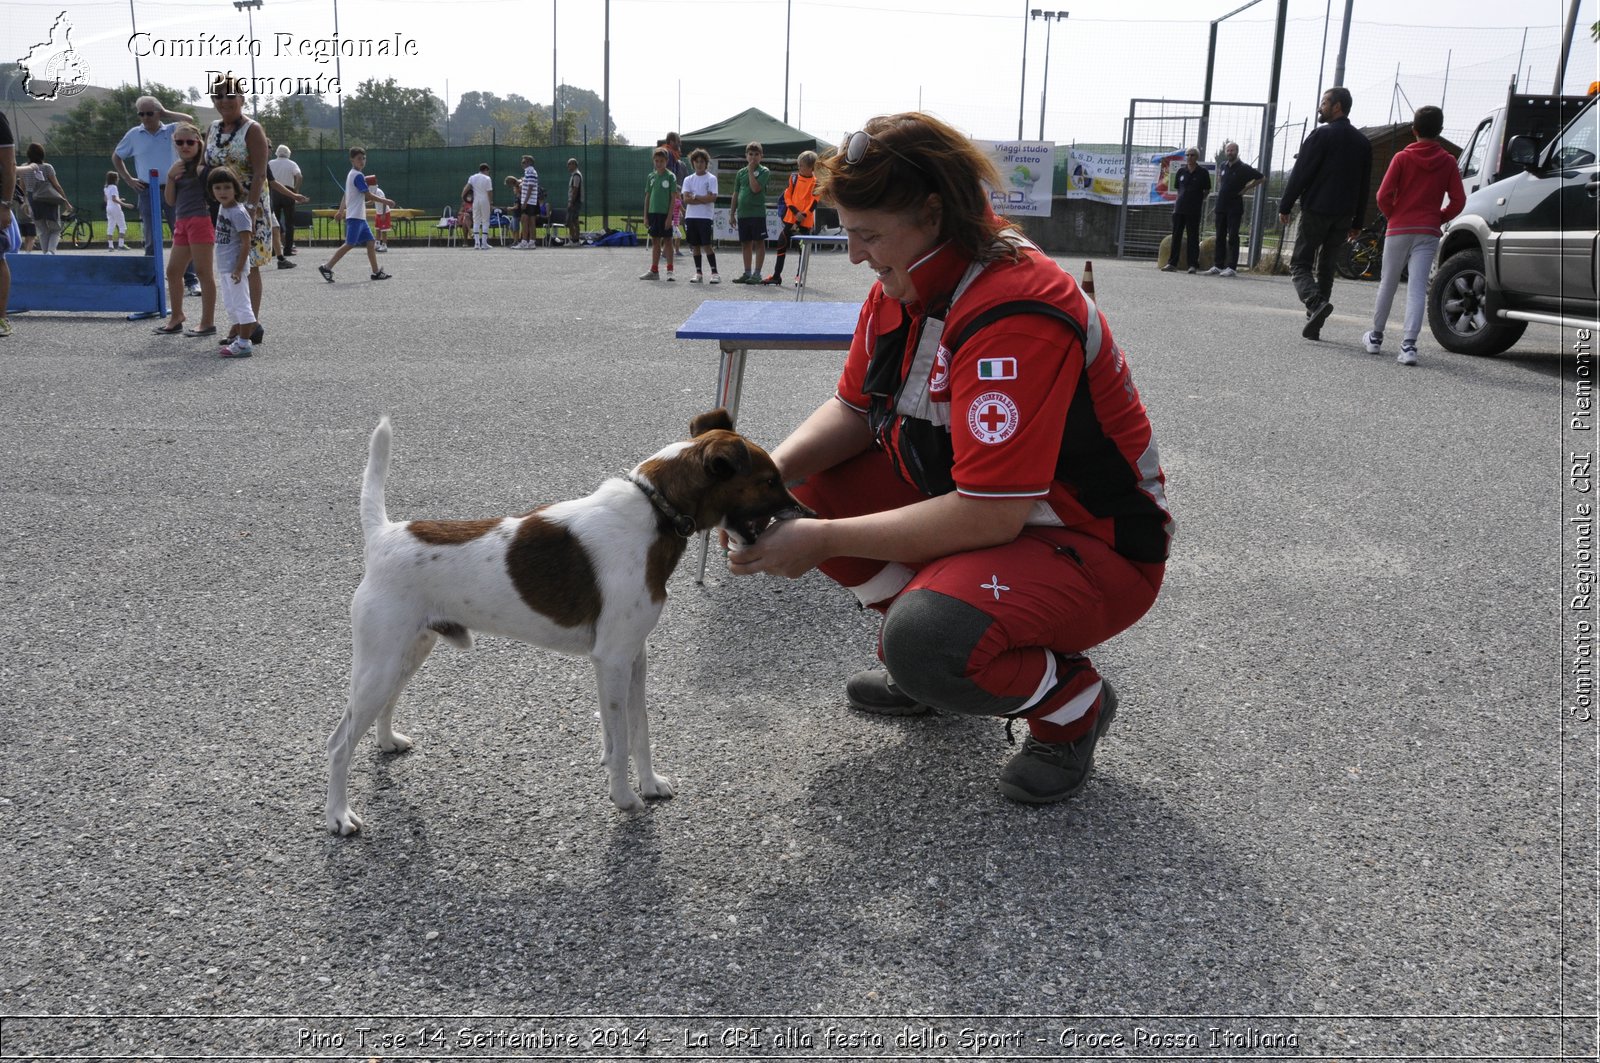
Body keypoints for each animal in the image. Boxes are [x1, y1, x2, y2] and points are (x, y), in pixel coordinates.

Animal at [321, 406, 812, 832]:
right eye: (770, 480)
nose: (808, 514)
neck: (656, 512)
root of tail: (382, 535)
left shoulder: (634, 657)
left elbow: (639, 730)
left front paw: (650, 785)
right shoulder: (612, 660)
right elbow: (619, 741)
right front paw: (624, 799)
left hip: (408, 652)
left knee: (383, 706)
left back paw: (387, 741)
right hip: (380, 662)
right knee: (338, 742)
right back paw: (339, 816)